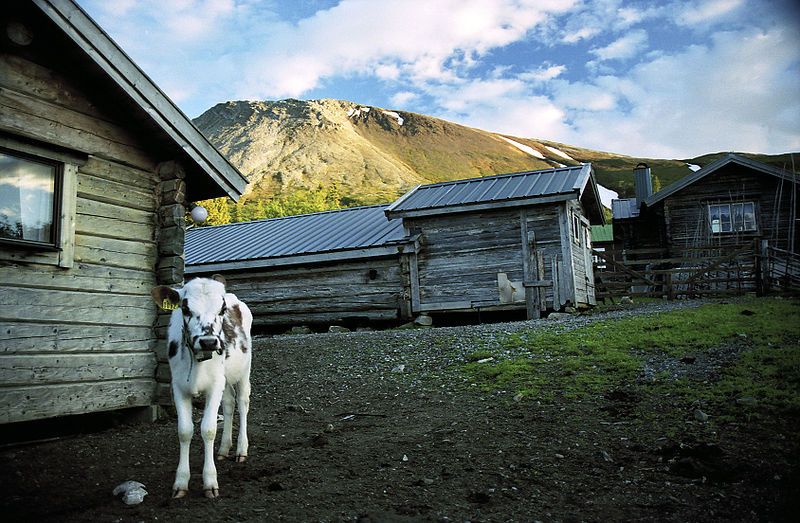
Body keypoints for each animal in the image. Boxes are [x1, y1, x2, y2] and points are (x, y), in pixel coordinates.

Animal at [149, 274, 250, 500]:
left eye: (222, 310)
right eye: (185, 309)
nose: (209, 342)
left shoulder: (214, 386)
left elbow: (208, 429)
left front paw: (210, 481)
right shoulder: (178, 387)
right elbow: (184, 431)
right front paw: (180, 482)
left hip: (244, 369)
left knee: (242, 403)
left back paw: (241, 450)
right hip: (225, 378)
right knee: (229, 404)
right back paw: (223, 449)